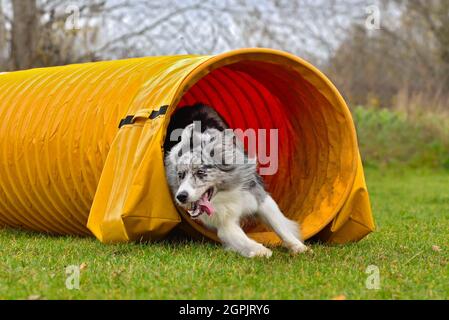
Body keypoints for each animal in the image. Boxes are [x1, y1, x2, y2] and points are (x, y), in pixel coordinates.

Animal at [164, 103, 308, 258]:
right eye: (180, 175)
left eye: (200, 172)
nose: (181, 196)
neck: (225, 192)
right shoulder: (224, 221)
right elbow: (241, 237)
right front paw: (262, 251)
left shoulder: (258, 196)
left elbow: (279, 224)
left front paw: (300, 247)